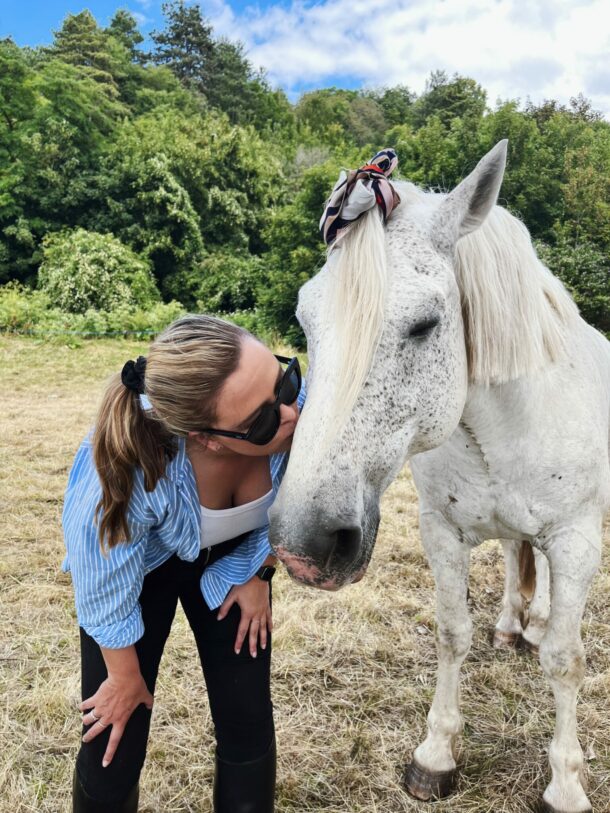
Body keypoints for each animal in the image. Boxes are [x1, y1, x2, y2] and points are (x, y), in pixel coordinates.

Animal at [268, 140, 610, 813]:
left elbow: (565, 659)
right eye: (305, 318)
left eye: (426, 324)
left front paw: (565, 784)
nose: (303, 545)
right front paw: (436, 755)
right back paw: (512, 626)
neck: (498, 427)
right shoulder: (442, 532)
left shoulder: (577, 540)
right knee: (515, 557)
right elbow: (453, 633)